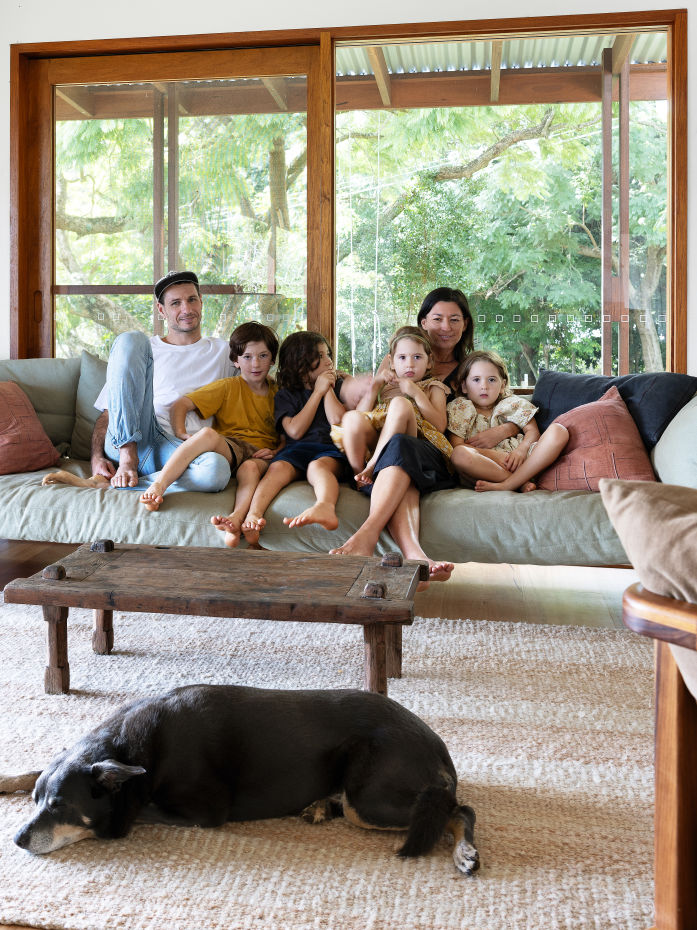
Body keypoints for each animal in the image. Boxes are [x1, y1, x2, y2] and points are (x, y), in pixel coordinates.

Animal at [8, 680, 478, 872]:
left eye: (61, 806)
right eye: (37, 802)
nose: (17, 839)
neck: (131, 750)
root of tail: (438, 748)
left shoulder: (203, 812)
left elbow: (134, 811)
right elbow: (29, 770)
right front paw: (6, 778)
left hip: (368, 801)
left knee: (457, 810)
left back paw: (465, 853)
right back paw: (318, 806)